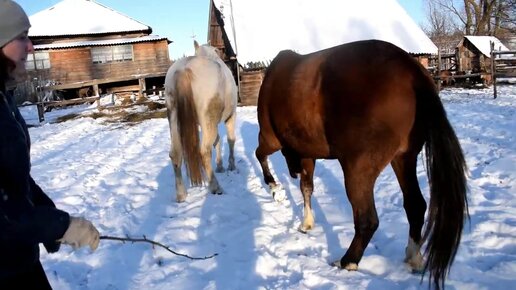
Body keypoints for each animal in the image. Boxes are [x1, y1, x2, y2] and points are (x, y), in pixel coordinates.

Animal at [164, 40, 239, 203]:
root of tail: (184, 68)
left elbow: (217, 141)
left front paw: (220, 166)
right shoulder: (230, 116)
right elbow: (231, 140)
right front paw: (231, 166)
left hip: (173, 119)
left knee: (175, 153)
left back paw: (181, 194)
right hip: (208, 122)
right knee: (204, 151)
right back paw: (216, 187)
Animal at [256, 39, 470, 288]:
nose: (292, 171)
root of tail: (411, 70)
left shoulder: (270, 138)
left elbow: (260, 156)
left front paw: (274, 188)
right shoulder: (307, 153)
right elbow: (306, 187)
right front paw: (306, 222)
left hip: (357, 169)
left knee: (367, 219)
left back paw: (348, 261)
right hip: (403, 159)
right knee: (415, 205)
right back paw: (413, 256)